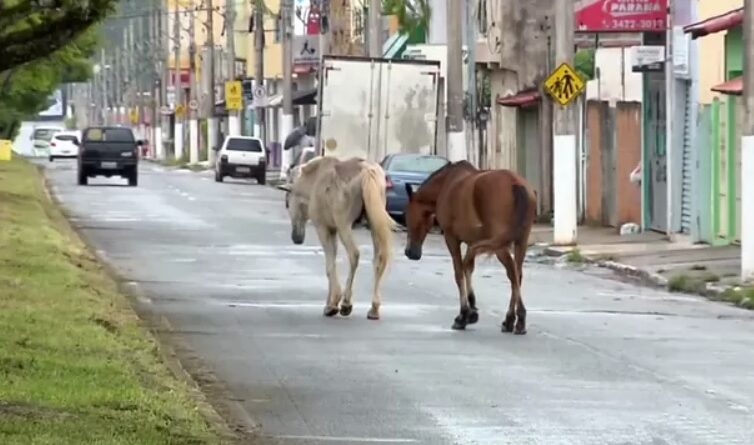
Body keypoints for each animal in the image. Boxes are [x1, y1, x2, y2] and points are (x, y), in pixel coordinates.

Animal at [276, 156, 394, 320]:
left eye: (288, 199)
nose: (296, 237)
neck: (312, 183)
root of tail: (367, 171)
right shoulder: (333, 230)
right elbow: (332, 263)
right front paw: (330, 302)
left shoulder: (324, 228)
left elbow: (329, 266)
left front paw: (332, 305)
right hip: (374, 222)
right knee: (379, 258)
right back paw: (374, 308)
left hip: (345, 224)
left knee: (354, 254)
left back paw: (346, 303)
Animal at [406, 161, 536, 334]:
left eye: (406, 215)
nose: (409, 252)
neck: (446, 184)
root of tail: (516, 183)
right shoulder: (471, 242)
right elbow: (468, 268)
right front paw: (472, 309)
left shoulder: (452, 238)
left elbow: (459, 272)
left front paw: (463, 315)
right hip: (521, 242)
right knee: (517, 274)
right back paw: (513, 320)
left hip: (501, 246)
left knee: (512, 273)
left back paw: (515, 320)